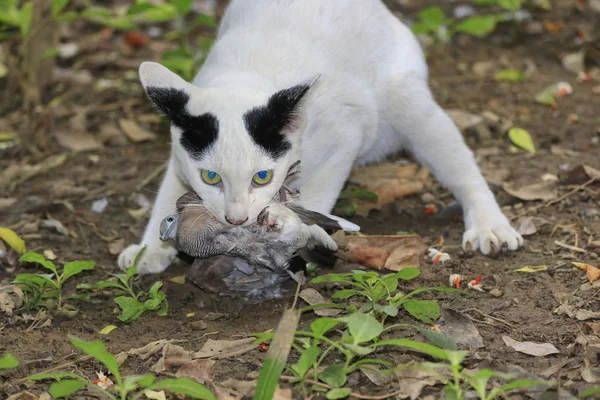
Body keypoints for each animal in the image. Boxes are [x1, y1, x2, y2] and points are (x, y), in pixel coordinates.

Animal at [117, 0, 520, 274]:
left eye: (261, 176)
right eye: (211, 177)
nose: (237, 219)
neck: (246, 77)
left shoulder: (347, 130)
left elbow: (316, 193)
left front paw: (300, 227)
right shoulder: (180, 157)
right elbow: (168, 194)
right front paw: (149, 247)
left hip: (406, 100)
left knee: (457, 160)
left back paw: (490, 224)